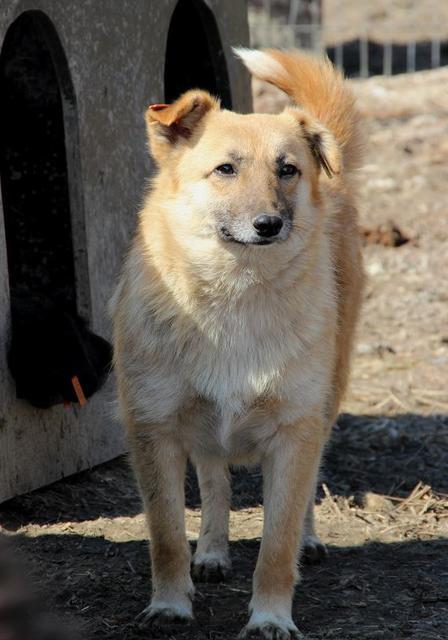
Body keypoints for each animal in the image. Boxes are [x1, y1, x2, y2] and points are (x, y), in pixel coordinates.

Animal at [112, 47, 364, 636]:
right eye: (225, 169)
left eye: (287, 169)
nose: (268, 224)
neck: (235, 294)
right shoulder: (154, 429)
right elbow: (166, 536)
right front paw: (170, 604)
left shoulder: (295, 430)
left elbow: (277, 542)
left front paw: (271, 616)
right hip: (201, 422)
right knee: (213, 476)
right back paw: (211, 550)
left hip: (326, 399)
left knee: (307, 482)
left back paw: (309, 539)